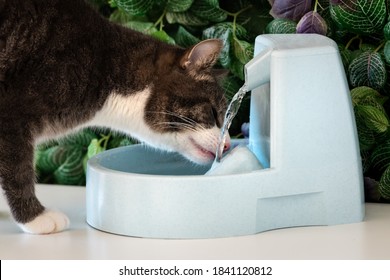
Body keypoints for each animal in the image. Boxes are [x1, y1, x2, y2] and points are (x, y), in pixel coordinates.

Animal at [0, 0, 230, 234]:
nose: (228, 144)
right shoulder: (12, 114)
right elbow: (18, 170)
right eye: (213, 113)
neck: (104, 65)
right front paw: (35, 218)